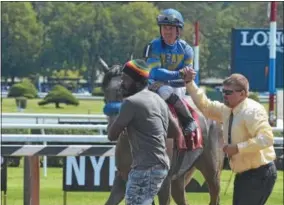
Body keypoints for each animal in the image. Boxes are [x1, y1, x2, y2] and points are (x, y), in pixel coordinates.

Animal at [101, 59, 225, 205]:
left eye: (122, 91)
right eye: (105, 91)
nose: (112, 126)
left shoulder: (164, 181)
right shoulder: (123, 177)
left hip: (212, 171)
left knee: (214, 194)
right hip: (180, 177)